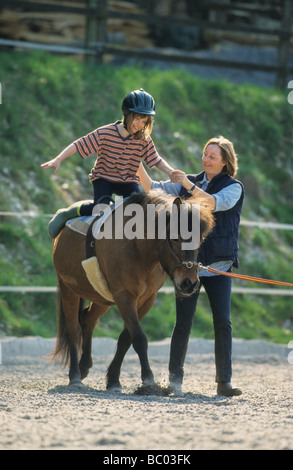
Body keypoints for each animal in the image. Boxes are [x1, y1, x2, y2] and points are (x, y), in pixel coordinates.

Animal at [51, 191, 213, 390]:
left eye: (201, 240)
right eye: (175, 237)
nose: (189, 283)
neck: (138, 247)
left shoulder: (147, 299)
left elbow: (126, 338)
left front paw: (113, 379)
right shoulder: (124, 297)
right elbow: (139, 338)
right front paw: (148, 379)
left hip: (102, 296)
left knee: (88, 319)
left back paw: (84, 366)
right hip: (69, 288)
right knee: (73, 329)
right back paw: (74, 375)